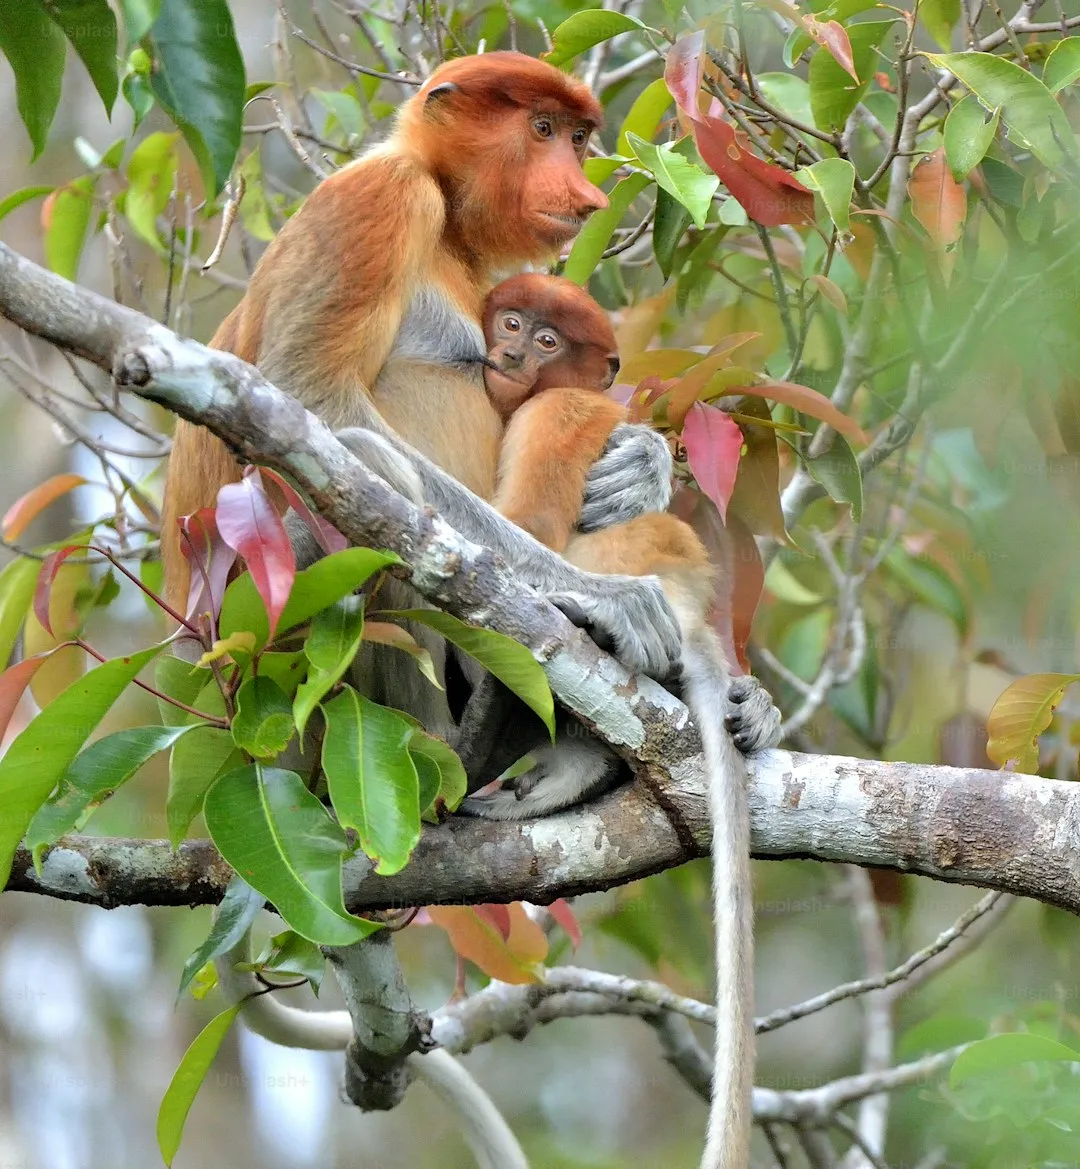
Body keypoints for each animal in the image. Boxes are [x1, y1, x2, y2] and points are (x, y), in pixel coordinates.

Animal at [459, 272, 782, 1169]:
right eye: (509, 321)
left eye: (543, 340)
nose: (505, 352)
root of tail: (696, 619)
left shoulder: (554, 412)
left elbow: (525, 523)